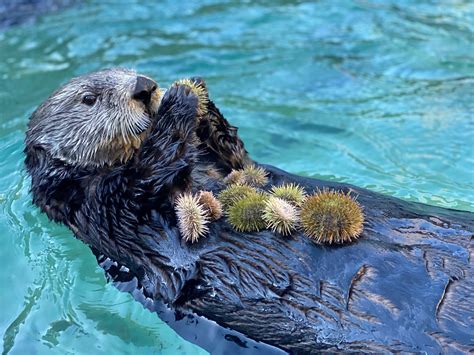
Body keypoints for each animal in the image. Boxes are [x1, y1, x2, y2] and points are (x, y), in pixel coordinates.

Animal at [25, 68, 474, 354]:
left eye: (125, 68)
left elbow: (240, 160)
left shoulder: (232, 168)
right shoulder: (106, 210)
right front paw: (179, 100)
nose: (144, 86)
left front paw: (201, 102)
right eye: (89, 98)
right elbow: (146, 175)